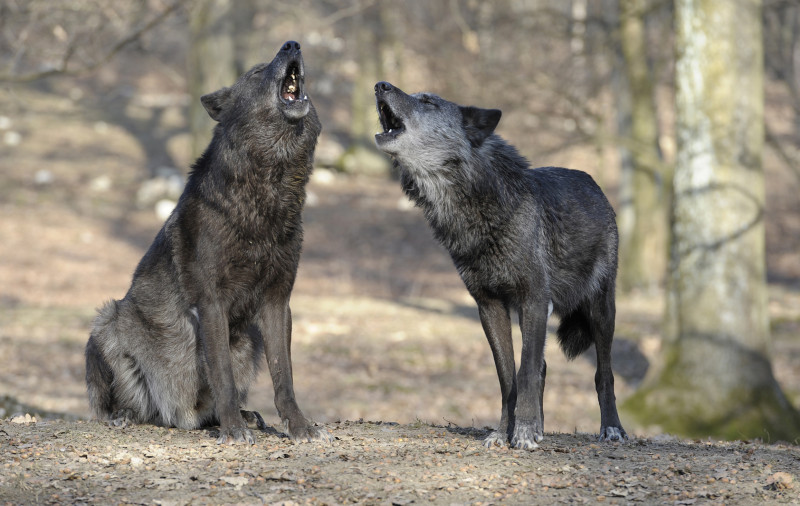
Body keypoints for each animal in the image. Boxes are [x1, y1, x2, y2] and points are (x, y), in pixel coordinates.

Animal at [85, 41, 330, 445]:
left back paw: (240, 416)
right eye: (257, 72)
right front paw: (232, 430)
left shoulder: (278, 302)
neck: (268, 185)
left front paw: (299, 426)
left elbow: (284, 378)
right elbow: (222, 377)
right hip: (108, 321)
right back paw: (126, 414)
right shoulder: (212, 302)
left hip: (247, 342)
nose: (292, 44)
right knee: (120, 407)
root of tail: (180, 417)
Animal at [374, 81, 627, 449]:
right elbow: (509, 376)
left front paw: (523, 432)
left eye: (428, 101)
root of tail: (595, 185)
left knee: (602, 372)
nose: (380, 85)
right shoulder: (489, 306)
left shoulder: (534, 299)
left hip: (601, 310)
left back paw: (611, 428)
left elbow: (526, 370)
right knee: (543, 367)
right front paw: (506, 431)